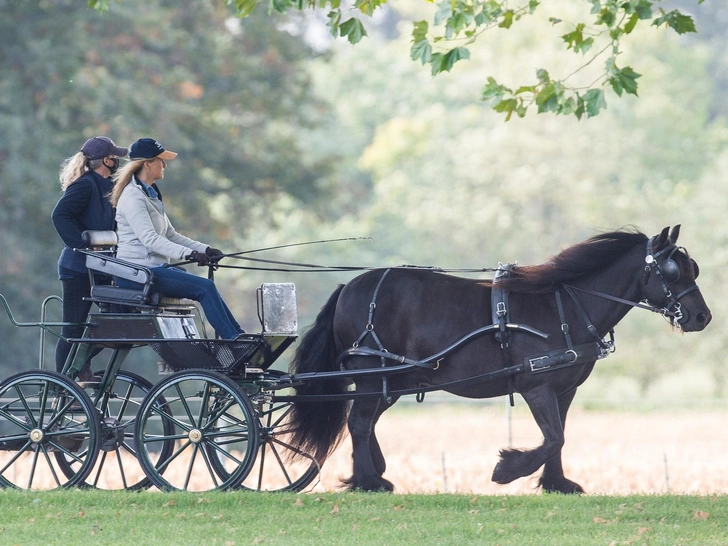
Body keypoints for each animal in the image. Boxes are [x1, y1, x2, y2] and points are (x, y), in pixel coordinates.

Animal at [288, 223, 712, 490]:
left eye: (691, 267)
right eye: (672, 271)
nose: (702, 317)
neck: (565, 307)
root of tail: (348, 287)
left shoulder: (565, 390)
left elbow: (560, 436)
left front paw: (557, 484)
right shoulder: (536, 386)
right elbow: (552, 437)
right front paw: (508, 469)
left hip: (392, 380)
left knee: (367, 422)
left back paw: (374, 473)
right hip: (371, 374)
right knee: (359, 423)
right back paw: (368, 482)